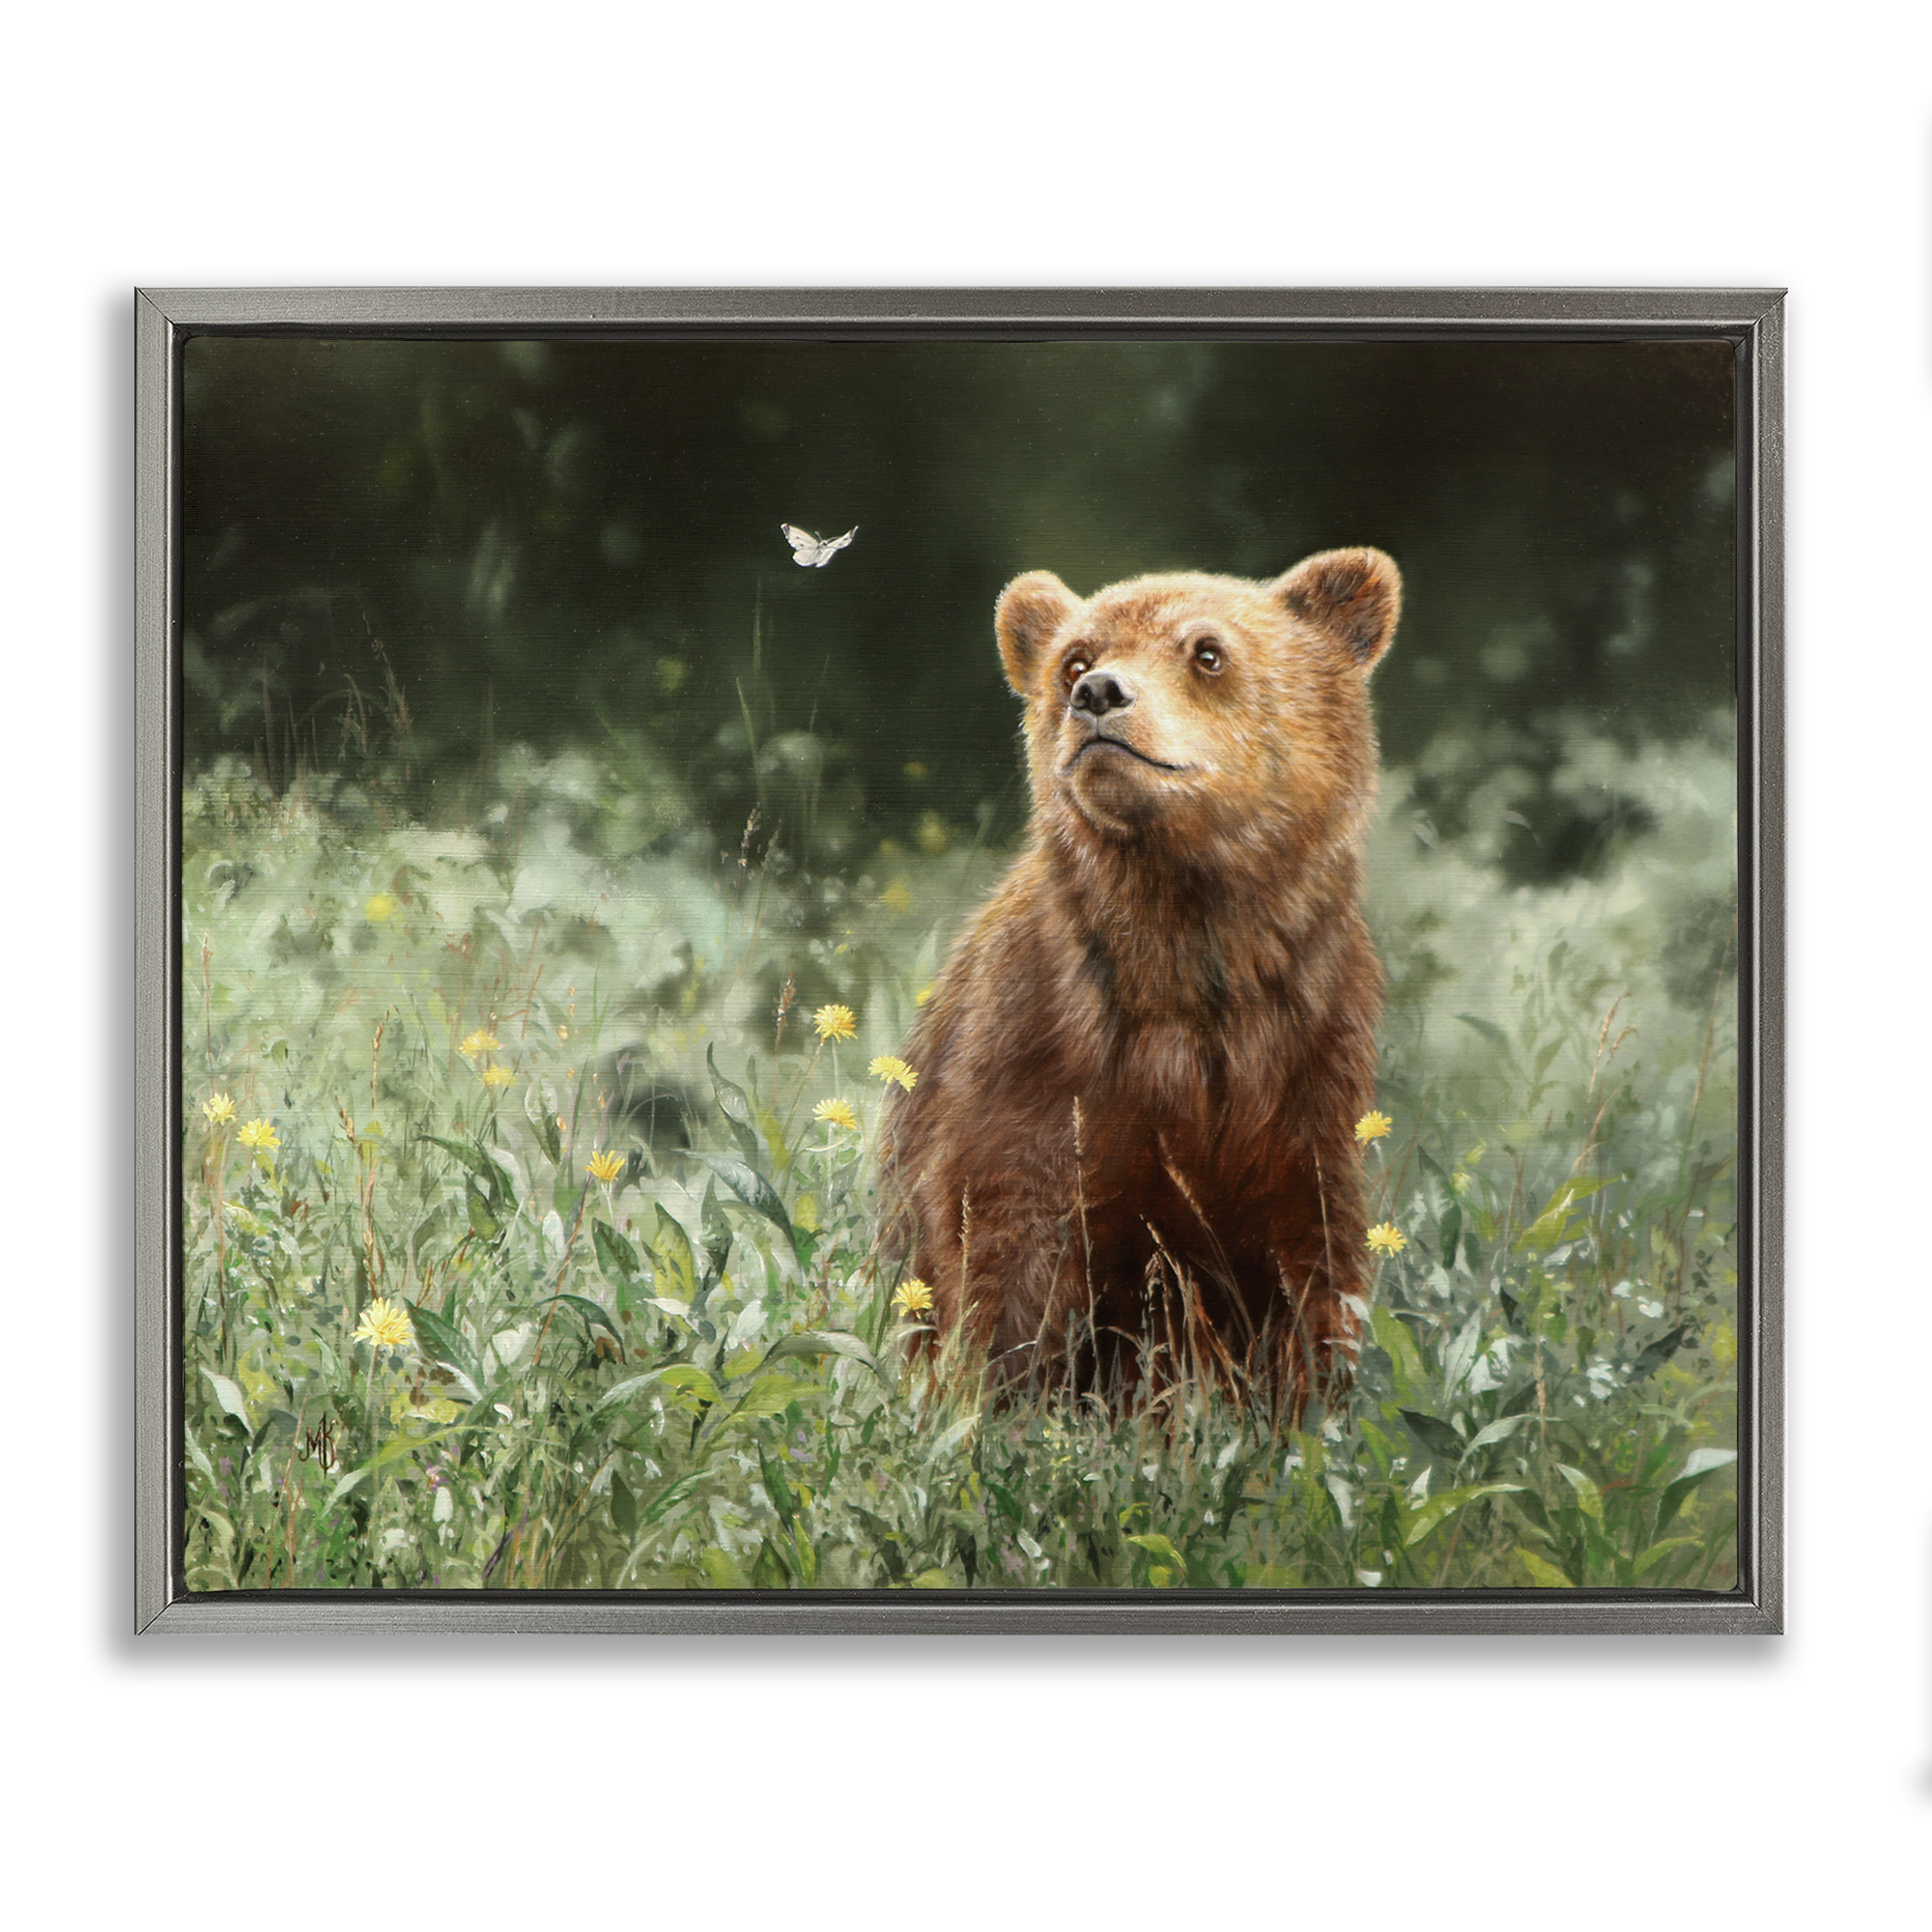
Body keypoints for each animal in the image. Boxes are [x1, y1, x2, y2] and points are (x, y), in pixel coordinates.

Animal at [878, 547, 1401, 1417]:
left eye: (1208, 652)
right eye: (1074, 657)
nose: (1098, 693)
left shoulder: (1304, 1057)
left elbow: (1306, 1260)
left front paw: (1301, 1407)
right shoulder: (1039, 1052)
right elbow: (1005, 1246)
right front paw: (1005, 1402)